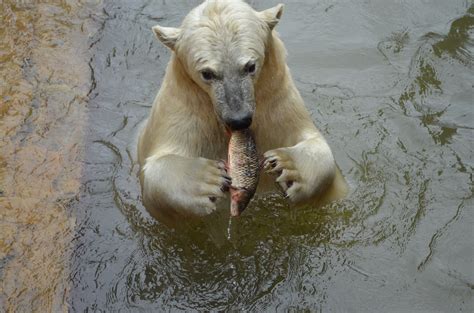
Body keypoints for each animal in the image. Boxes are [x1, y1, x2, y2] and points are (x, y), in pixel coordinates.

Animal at [137, 0, 344, 221]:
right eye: (207, 73)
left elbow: (318, 149)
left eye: (250, 66)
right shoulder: (181, 113)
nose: (239, 120)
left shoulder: (278, 107)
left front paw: (286, 165)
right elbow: (155, 173)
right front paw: (208, 179)